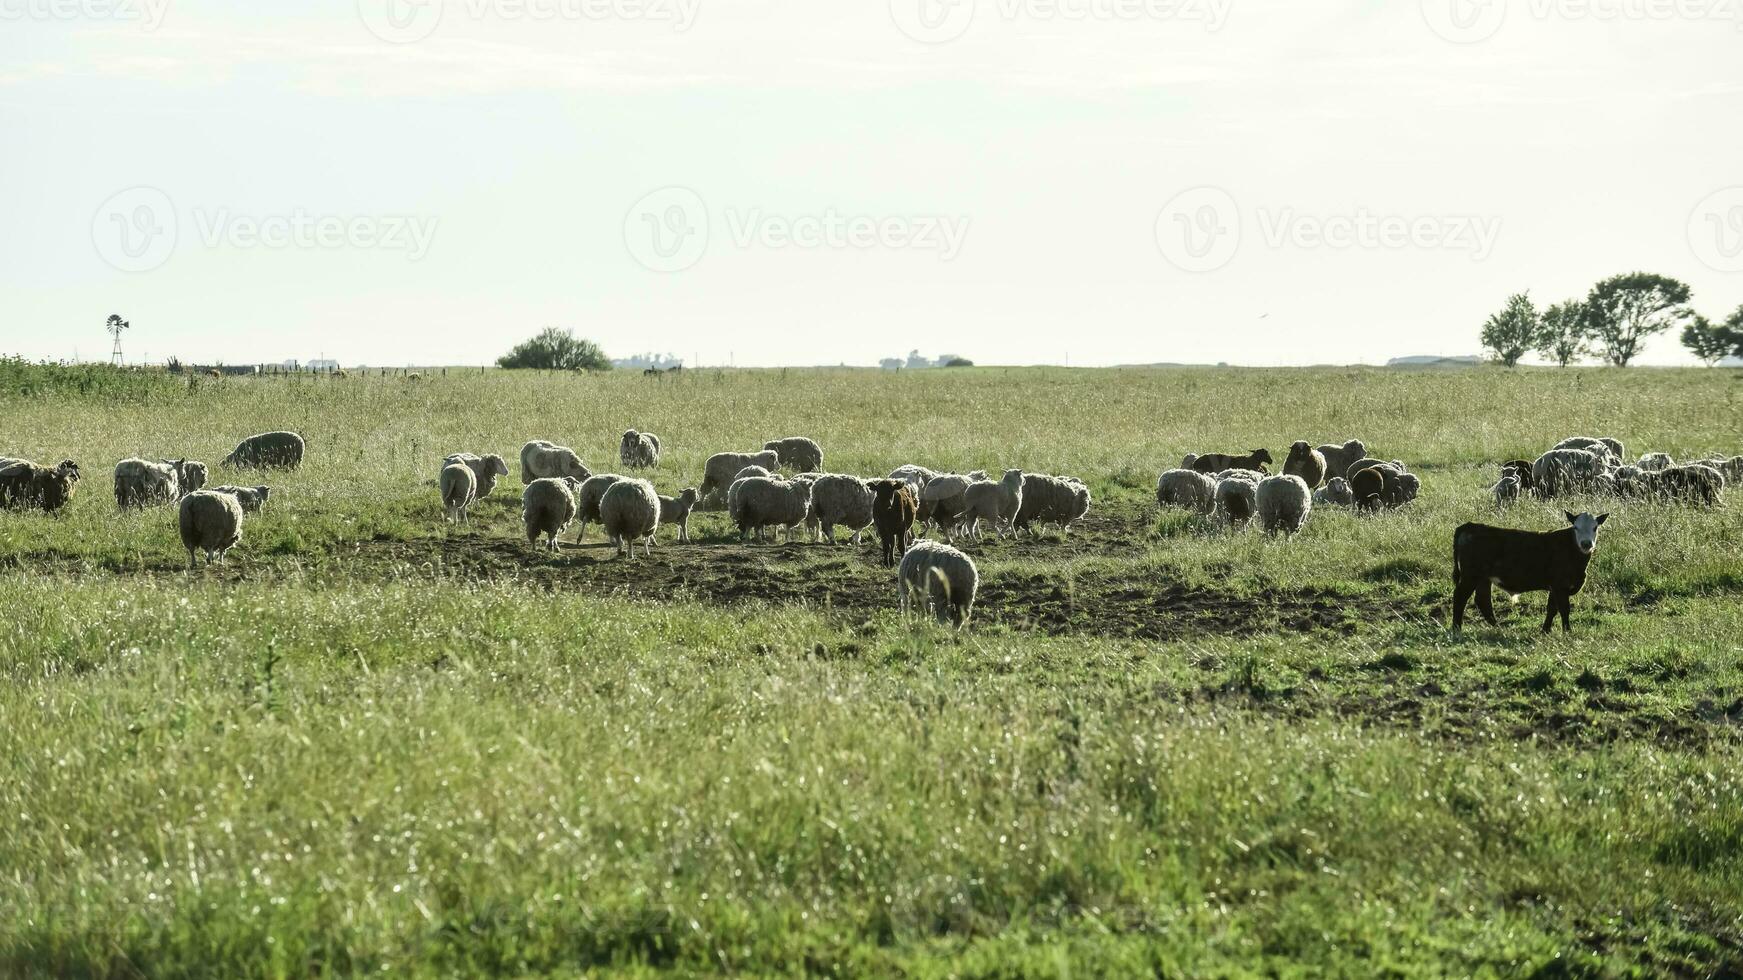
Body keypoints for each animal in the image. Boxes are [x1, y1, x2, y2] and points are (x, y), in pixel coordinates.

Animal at [1450, 512, 1610, 634]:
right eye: (1576, 527)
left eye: (1595, 527)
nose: (1586, 543)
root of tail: (1470, 526)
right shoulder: (1560, 586)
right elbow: (1564, 609)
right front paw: (1567, 631)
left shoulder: (1555, 587)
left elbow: (1552, 609)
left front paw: (1545, 630)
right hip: (1470, 577)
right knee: (1460, 597)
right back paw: (1456, 628)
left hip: (1483, 578)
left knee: (1483, 600)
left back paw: (1497, 627)